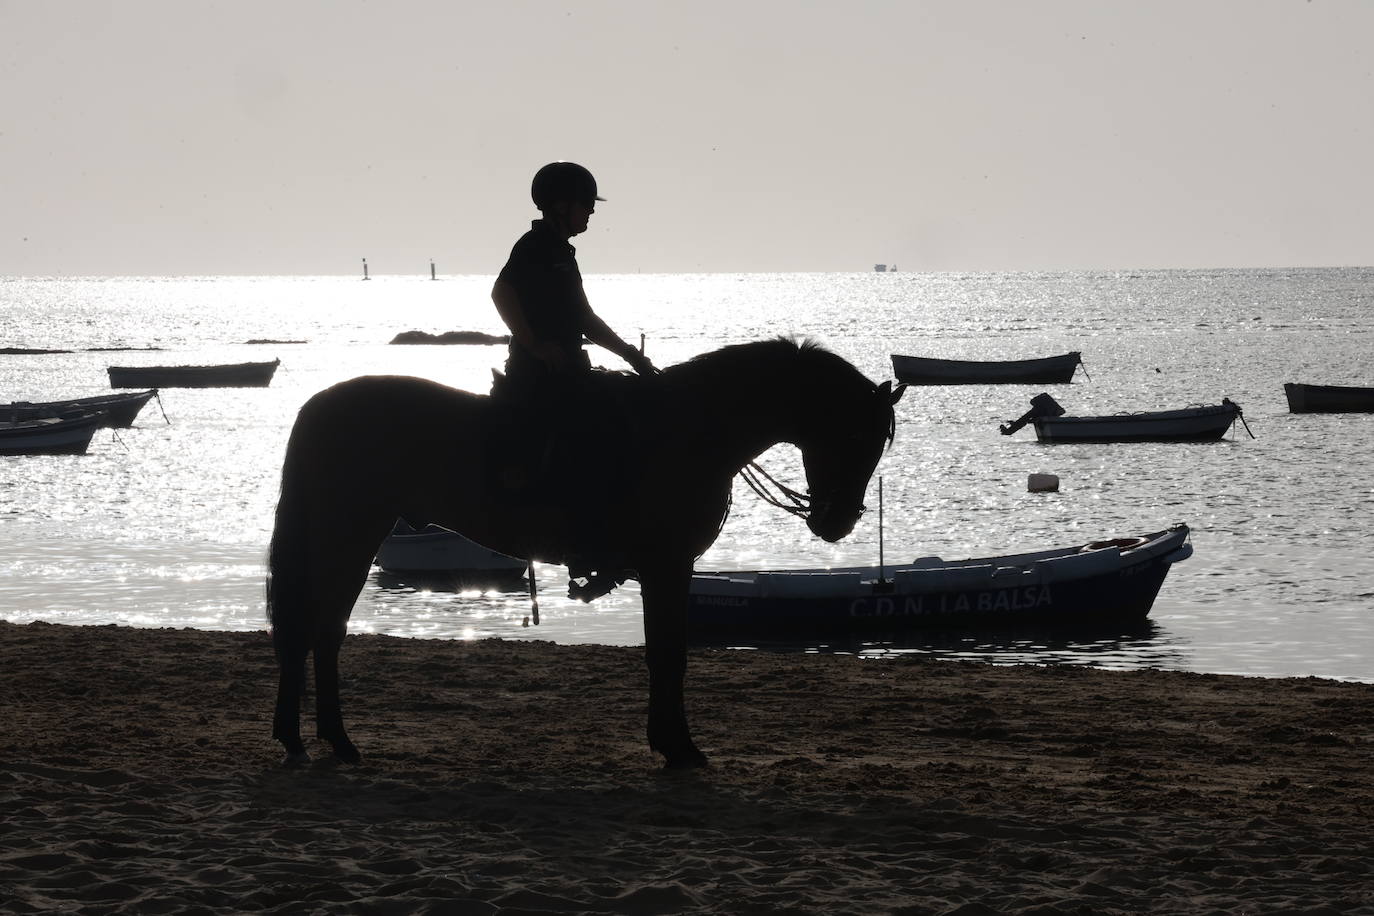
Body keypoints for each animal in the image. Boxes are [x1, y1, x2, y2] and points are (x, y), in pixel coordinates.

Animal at [267, 338, 906, 769]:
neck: (691, 431)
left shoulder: (666, 568)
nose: (836, 521)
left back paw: (326, 739)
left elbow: (666, 654)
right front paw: (678, 748)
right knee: (314, 629)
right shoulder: (667, 566)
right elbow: (668, 655)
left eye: (879, 441)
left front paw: (670, 741)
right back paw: (311, 739)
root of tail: (320, 407)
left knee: (320, 631)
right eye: (856, 435)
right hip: (347, 533)